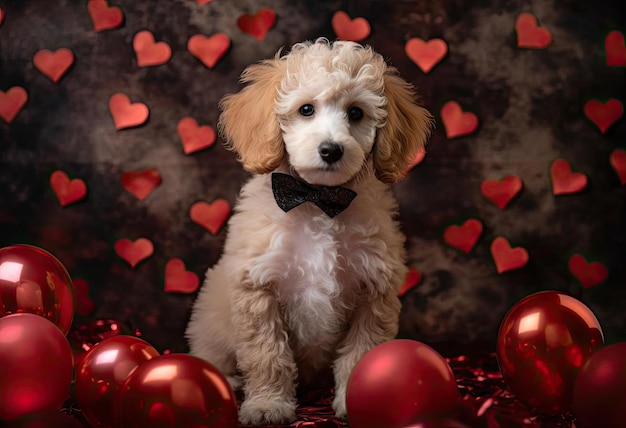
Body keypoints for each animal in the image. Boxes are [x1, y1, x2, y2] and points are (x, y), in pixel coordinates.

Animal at [185, 39, 428, 424]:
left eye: (356, 113)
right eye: (306, 109)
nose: (331, 150)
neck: (317, 201)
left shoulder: (374, 290)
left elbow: (361, 352)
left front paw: (356, 401)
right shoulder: (258, 287)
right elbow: (267, 354)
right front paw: (267, 405)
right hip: (209, 320)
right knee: (211, 355)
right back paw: (227, 379)